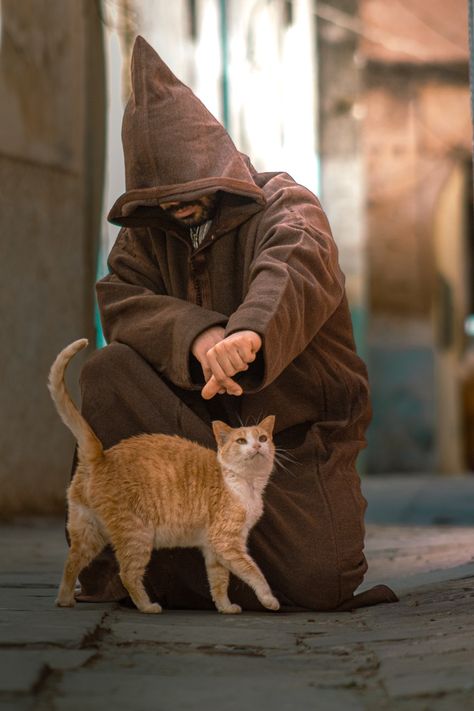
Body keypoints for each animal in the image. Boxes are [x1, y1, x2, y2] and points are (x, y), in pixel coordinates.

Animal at [49, 338, 278, 612]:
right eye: (242, 441)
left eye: (263, 438)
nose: (257, 446)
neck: (246, 484)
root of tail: (101, 456)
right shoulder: (227, 542)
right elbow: (254, 572)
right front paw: (269, 599)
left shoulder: (214, 549)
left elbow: (219, 582)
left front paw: (225, 608)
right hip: (137, 534)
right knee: (127, 574)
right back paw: (148, 607)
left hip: (88, 533)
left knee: (71, 564)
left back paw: (64, 600)